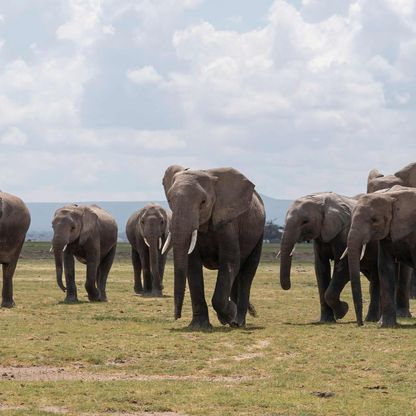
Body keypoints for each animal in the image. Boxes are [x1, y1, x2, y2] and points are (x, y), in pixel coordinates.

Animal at [161, 164, 264, 330]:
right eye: (170, 200)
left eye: (203, 202)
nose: (177, 316)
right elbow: (192, 265)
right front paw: (199, 326)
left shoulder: (228, 223)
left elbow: (229, 261)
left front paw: (229, 315)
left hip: (258, 233)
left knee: (247, 273)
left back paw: (238, 321)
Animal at [280, 193, 380, 324]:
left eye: (305, 221)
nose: (288, 286)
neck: (320, 200)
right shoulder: (319, 237)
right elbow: (321, 268)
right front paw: (327, 320)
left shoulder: (344, 233)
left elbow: (343, 267)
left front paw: (343, 311)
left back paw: (372, 319)